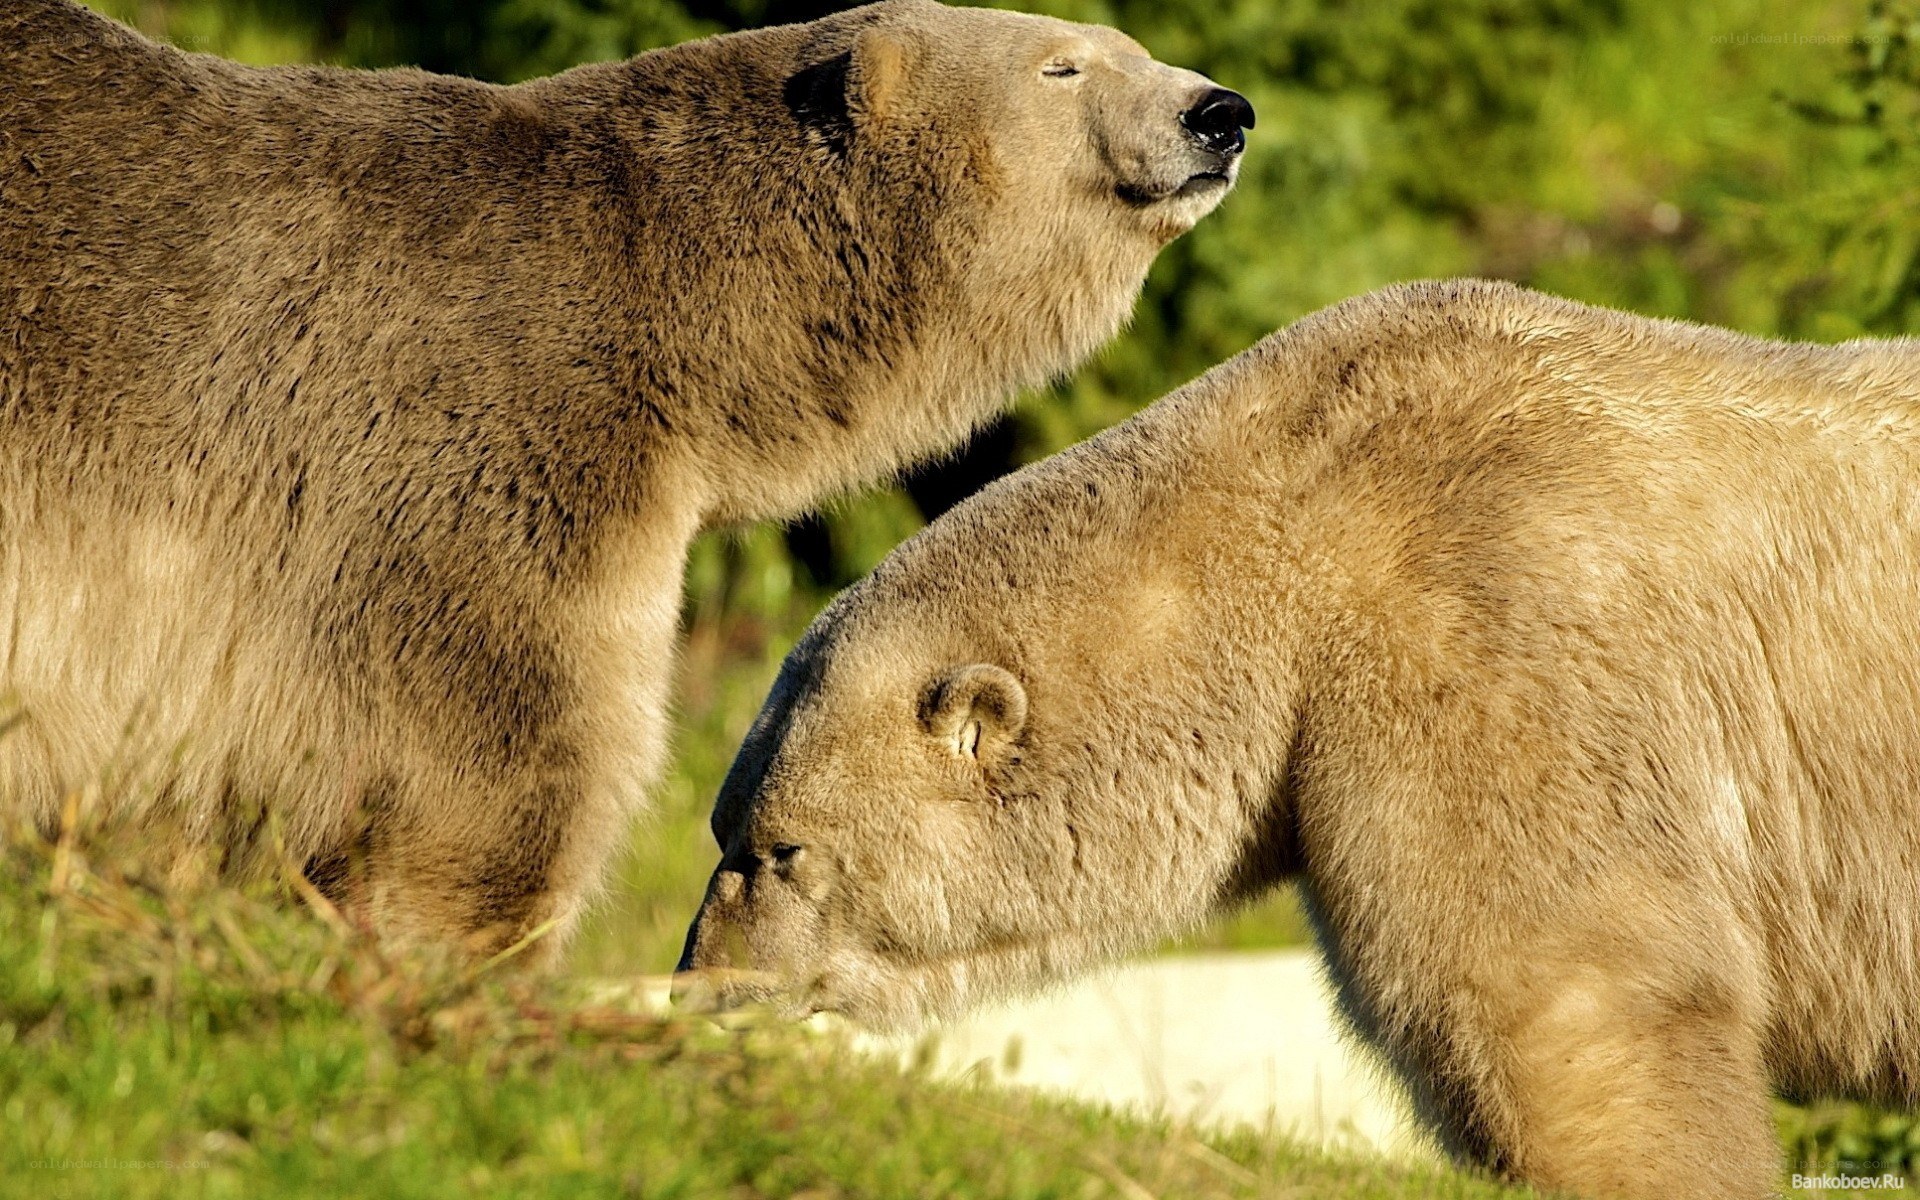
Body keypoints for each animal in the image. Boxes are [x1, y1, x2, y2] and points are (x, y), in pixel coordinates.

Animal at [0, 0, 1253, 956]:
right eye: (1064, 63)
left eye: (1134, 44)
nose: (1221, 114)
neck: (660, 284)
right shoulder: (488, 442)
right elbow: (503, 745)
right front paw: (468, 953)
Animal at [678, 279, 1920, 1200]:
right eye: (724, 827)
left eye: (779, 851)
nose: (704, 984)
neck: (1295, 515)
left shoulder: (1486, 629)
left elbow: (1569, 986)